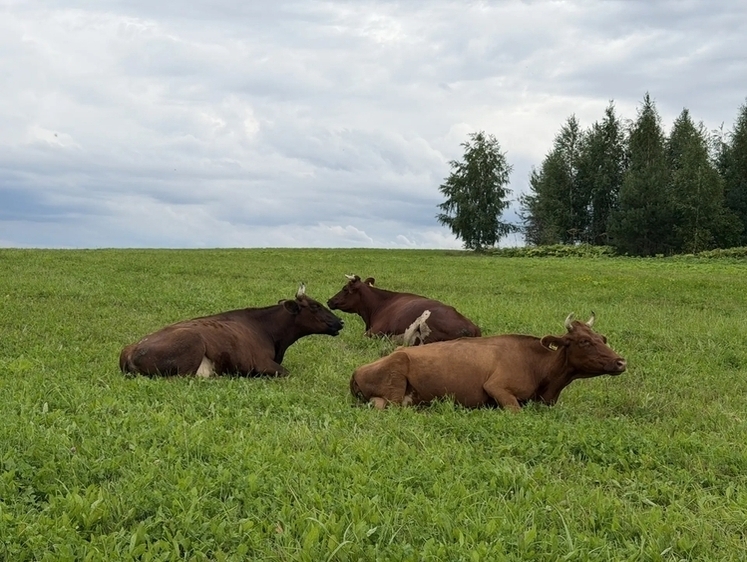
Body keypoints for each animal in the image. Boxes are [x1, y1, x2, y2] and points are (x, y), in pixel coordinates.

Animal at [119, 283, 343, 377]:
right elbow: (287, 373)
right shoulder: (262, 364)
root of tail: (131, 349)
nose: (340, 321)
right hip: (192, 346)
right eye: (314, 306)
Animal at [350, 313, 626, 411]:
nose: (621, 362)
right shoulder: (497, 387)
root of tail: (357, 370)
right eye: (584, 341)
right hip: (396, 382)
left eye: (602, 338)